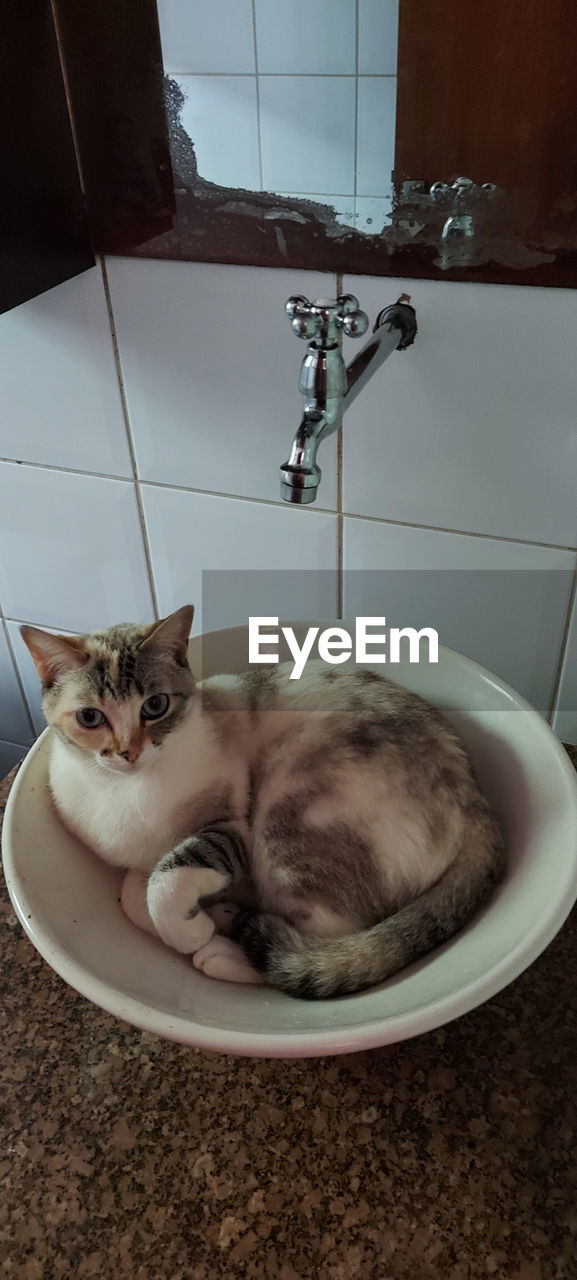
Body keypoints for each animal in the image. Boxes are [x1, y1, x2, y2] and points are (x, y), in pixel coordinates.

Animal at [20, 606, 504, 998]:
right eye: (90, 717)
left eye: (154, 706)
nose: (129, 751)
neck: (125, 794)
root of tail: (477, 799)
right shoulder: (136, 862)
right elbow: (135, 897)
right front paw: (209, 915)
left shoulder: (229, 830)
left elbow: (166, 885)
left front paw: (195, 934)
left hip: (284, 815)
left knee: (318, 951)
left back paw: (225, 953)